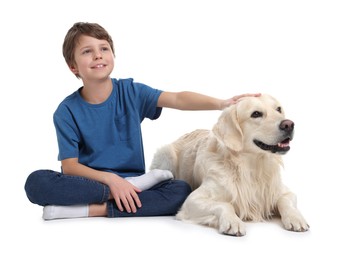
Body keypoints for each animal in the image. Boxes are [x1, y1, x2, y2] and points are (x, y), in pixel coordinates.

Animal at [151, 93, 308, 236]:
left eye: (278, 109)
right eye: (256, 114)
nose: (289, 124)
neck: (252, 166)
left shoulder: (283, 191)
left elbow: (285, 201)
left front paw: (296, 218)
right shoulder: (192, 200)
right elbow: (224, 204)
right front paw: (233, 222)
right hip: (166, 153)